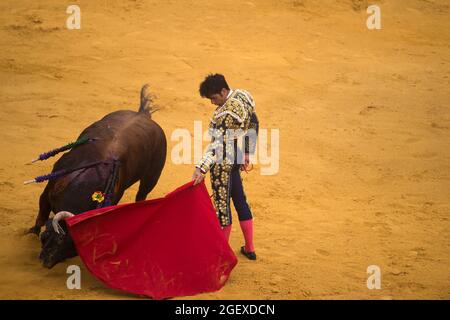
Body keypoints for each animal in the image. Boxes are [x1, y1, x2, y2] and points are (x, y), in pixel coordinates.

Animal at [28, 84, 169, 268]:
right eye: (52, 239)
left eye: (69, 246)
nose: (45, 260)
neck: (83, 184)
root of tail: (142, 114)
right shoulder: (47, 191)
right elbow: (41, 215)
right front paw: (31, 233)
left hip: (152, 176)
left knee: (142, 195)